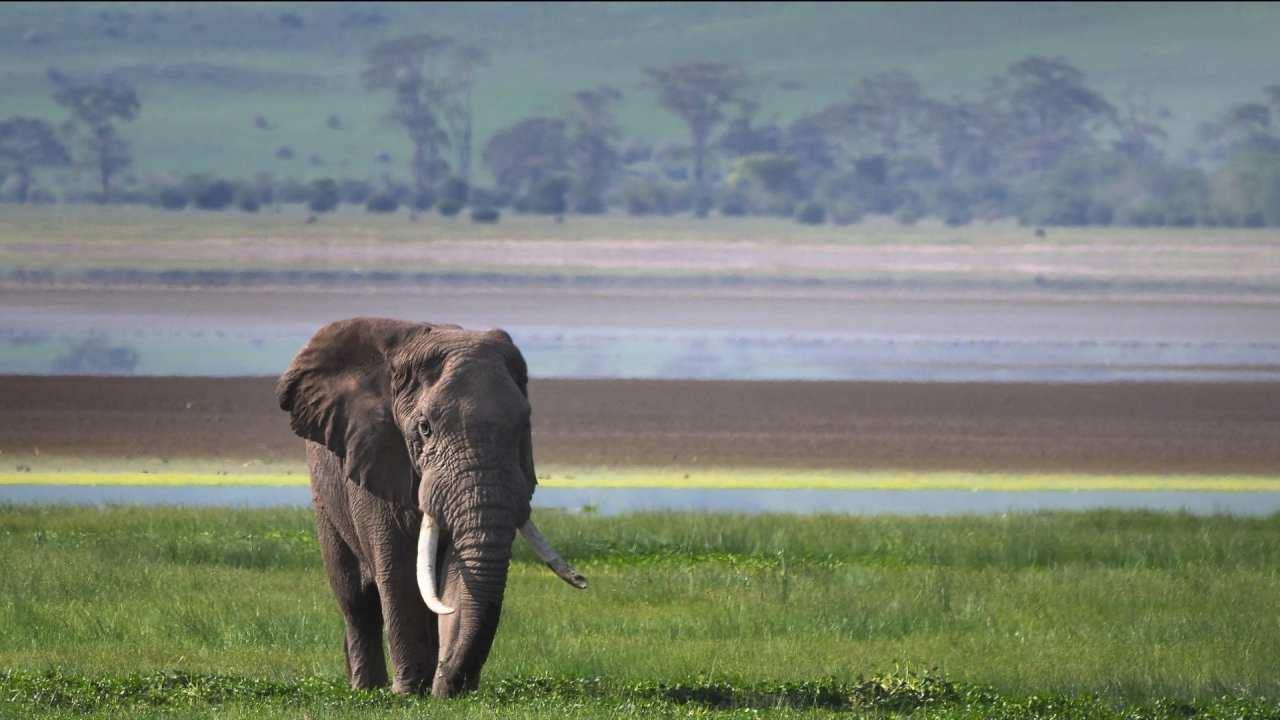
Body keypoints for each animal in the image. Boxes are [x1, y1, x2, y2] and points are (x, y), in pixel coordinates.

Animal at [277, 317, 586, 696]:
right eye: (424, 428)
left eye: (524, 426)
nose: (448, 686)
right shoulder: (376, 453)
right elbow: (397, 569)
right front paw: (408, 692)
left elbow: (455, 569)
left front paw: (445, 691)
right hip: (324, 493)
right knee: (356, 601)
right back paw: (366, 688)